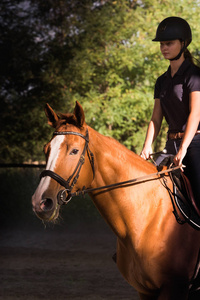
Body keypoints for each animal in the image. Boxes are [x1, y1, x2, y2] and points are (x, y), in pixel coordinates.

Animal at [31, 102, 200, 298]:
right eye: (46, 150)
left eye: (74, 151)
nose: (41, 202)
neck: (148, 216)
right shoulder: (145, 291)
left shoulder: (174, 288)